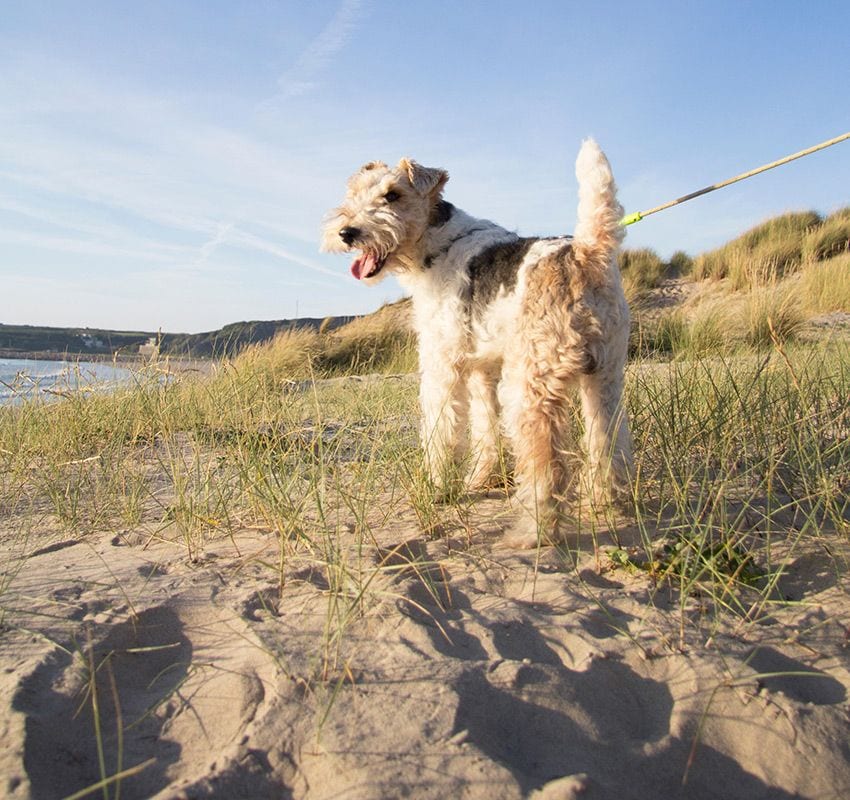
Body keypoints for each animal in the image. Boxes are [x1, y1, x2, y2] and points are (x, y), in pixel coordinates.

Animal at [322, 141, 632, 548]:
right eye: (354, 193)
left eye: (392, 195)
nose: (347, 232)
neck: (437, 243)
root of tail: (584, 254)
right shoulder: (482, 368)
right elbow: (485, 428)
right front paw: (480, 480)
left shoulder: (442, 366)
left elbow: (442, 431)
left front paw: (436, 487)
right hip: (606, 377)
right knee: (609, 445)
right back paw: (604, 503)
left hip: (531, 386)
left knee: (546, 464)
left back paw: (532, 532)